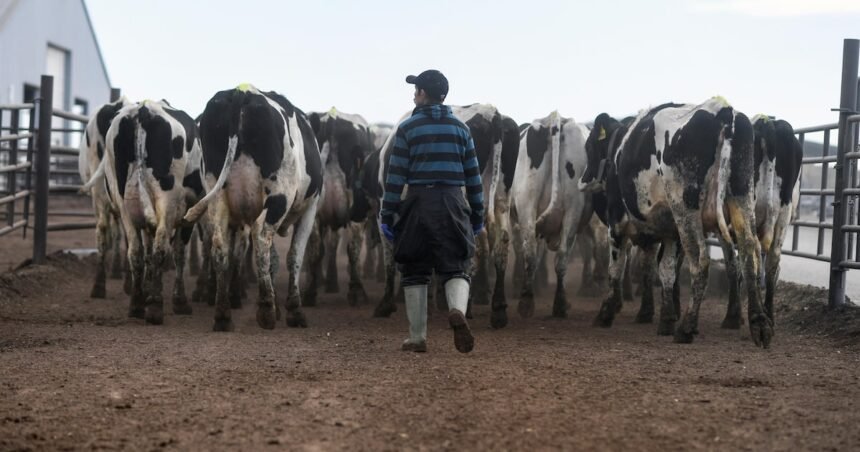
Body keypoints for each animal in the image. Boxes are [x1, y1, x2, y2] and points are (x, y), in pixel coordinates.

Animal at [183, 85, 320, 332]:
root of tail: (242, 91)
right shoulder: (309, 208)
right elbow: (294, 256)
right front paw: (292, 311)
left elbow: (274, 259)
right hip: (279, 196)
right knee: (261, 236)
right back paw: (265, 311)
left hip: (217, 198)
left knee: (220, 247)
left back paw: (223, 315)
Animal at [306, 108, 376, 308]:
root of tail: (332, 119)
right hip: (356, 211)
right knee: (353, 247)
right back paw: (356, 291)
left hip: (315, 212)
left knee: (316, 248)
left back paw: (310, 293)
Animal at [580, 99, 768, 346]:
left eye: (589, 147)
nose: (583, 180)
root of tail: (723, 111)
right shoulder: (670, 232)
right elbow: (666, 270)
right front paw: (667, 318)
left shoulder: (617, 221)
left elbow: (617, 267)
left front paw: (606, 313)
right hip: (741, 198)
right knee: (748, 253)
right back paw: (759, 324)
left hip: (685, 210)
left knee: (700, 260)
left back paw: (687, 327)